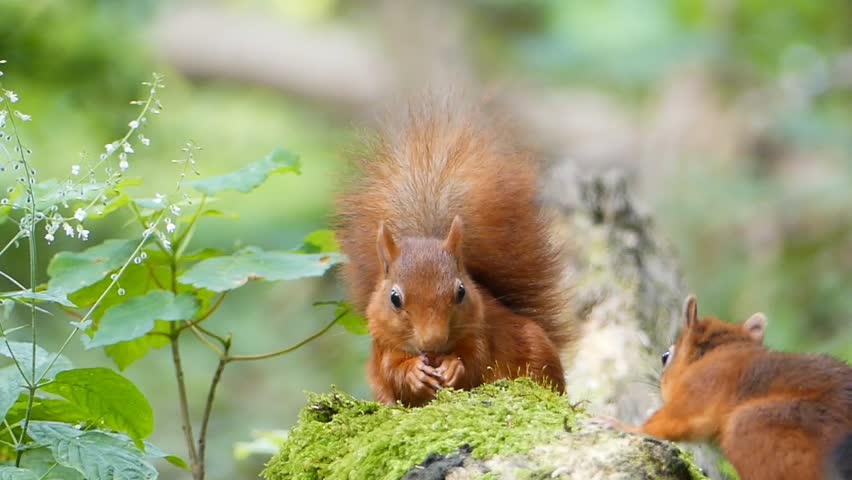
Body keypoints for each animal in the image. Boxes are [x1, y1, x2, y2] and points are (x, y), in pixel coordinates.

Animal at [334, 98, 572, 407]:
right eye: (394, 298)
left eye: (461, 292)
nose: (433, 342)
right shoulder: (383, 344)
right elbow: (392, 370)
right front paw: (413, 373)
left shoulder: (481, 329)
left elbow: (476, 360)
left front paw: (453, 366)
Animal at [608, 294, 852, 480]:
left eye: (665, 357)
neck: (723, 350)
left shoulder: (702, 387)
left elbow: (670, 421)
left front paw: (624, 426)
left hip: (754, 426)